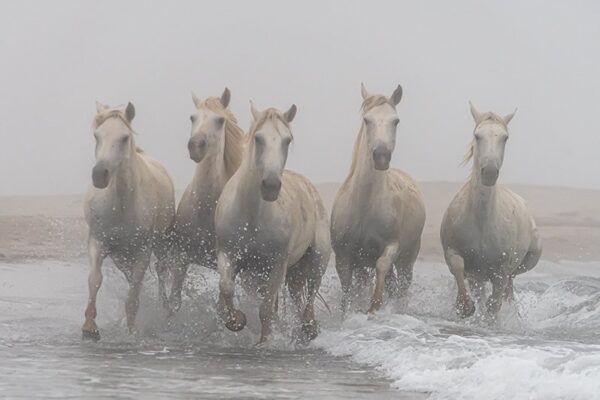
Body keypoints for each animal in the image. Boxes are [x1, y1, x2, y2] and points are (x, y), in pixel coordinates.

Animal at [83, 101, 175, 340]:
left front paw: (131, 330)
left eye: (124, 137)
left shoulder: (142, 250)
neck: (121, 205)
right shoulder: (97, 242)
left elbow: (134, 291)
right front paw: (89, 327)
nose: (99, 175)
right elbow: (95, 280)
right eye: (97, 135)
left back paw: (165, 310)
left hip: (160, 244)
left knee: (161, 273)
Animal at [155, 88, 244, 312]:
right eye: (192, 117)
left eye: (220, 120)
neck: (206, 210)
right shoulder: (182, 258)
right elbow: (175, 302)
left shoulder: (229, 267)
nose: (196, 145)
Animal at [213, 103, 330, 344]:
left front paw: (265, 341)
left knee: (310, 296)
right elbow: (226, 288)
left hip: (317, 259)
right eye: (258, 138)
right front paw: (236, 321)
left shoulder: (277, 264)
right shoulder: (228, 254)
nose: (271, 185)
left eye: (287, 140)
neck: (251, 217)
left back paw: (309, 329)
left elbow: (266, 309)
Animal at [328, 84, 426, 314]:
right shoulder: (344, 256)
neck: (364, 205)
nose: (381, 156)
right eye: (367, 120)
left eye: (395, 121)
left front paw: (374, 307)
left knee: (401, 287)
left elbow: (382, 266)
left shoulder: (391, 246)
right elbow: (347, 290)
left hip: (408, 258)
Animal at [440, 102, 544, 318]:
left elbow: (493, 306)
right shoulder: (454, 253)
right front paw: (464, 307)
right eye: (477, 135)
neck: (481, 221)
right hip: (478, 276)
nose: (489, 172)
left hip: (523, 264)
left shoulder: (500, 271)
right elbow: (459, 270)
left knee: (508, 286)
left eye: (505, 137)